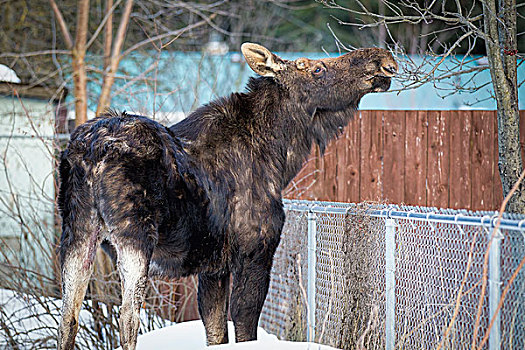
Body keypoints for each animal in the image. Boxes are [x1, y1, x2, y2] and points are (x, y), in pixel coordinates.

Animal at [57, 43, 396, 350]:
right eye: (316, 68)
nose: (383, 59)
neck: (281, 156)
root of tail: (92, 152)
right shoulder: (255, 251)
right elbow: (244, 323)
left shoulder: (213, 267)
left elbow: (216, 330)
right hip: (135, 235)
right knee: (127, 319)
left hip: (77, 232)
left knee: (68, 319)